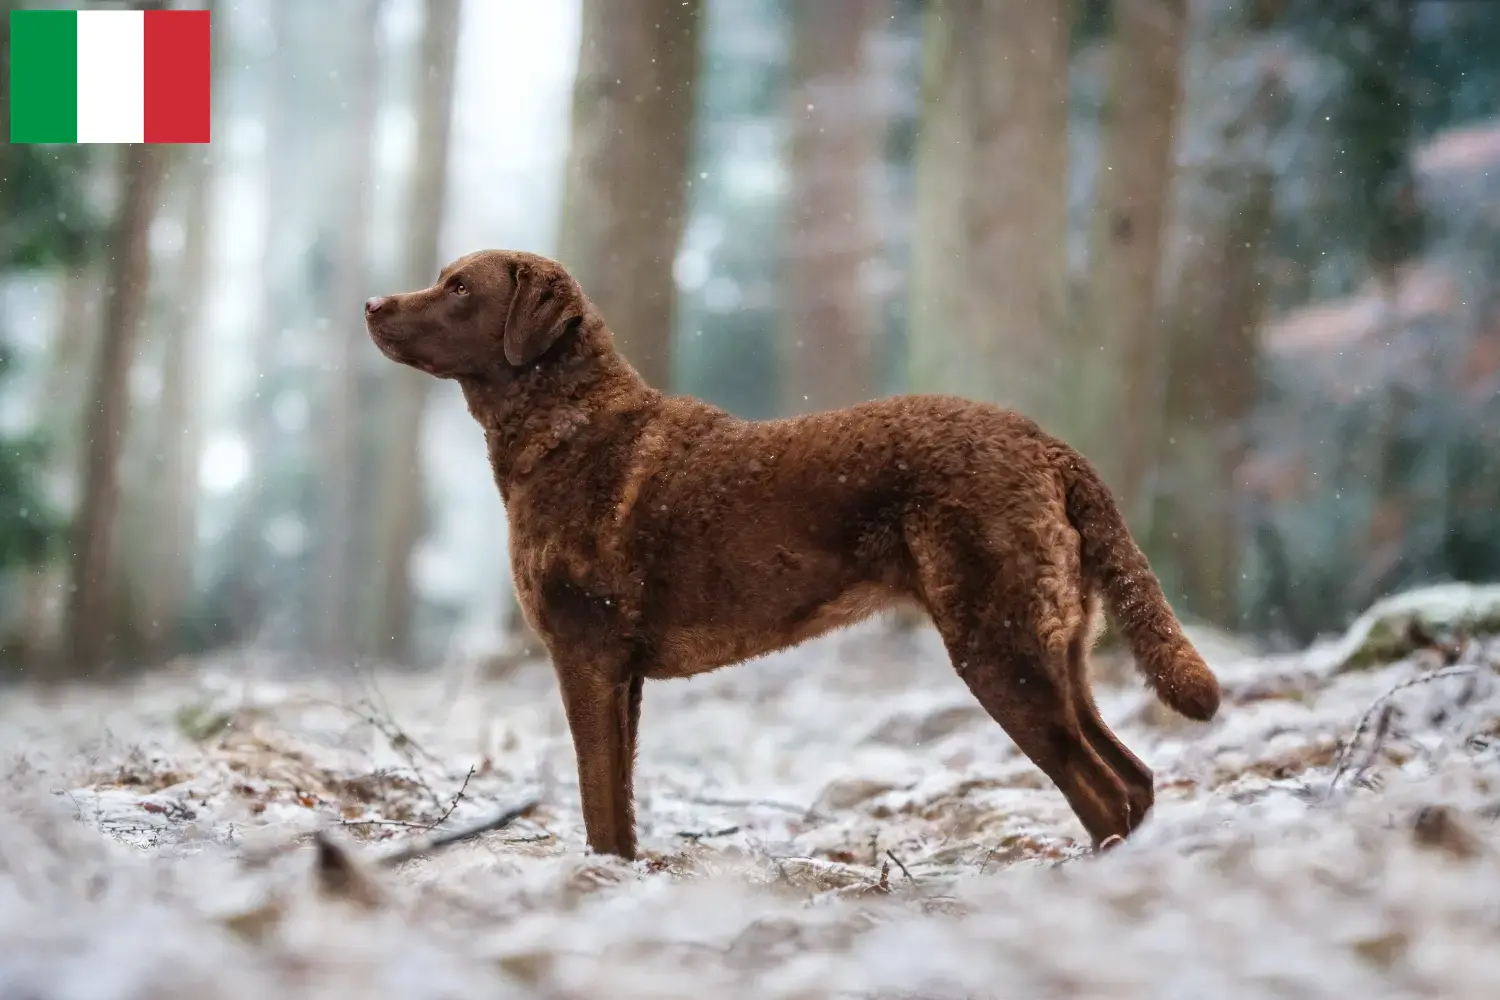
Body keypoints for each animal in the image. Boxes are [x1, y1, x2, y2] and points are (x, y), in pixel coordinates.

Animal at [363, 248, 1218, 863]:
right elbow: (623, 803)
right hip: (1058, 650)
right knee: (1135, 778)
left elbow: (599, 802)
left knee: (1103, 791)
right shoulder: (624, 675)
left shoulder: (587, 655)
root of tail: (1046, 444)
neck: (567, 429)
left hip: (999, 646)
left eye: (458, 287)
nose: (372, 303)